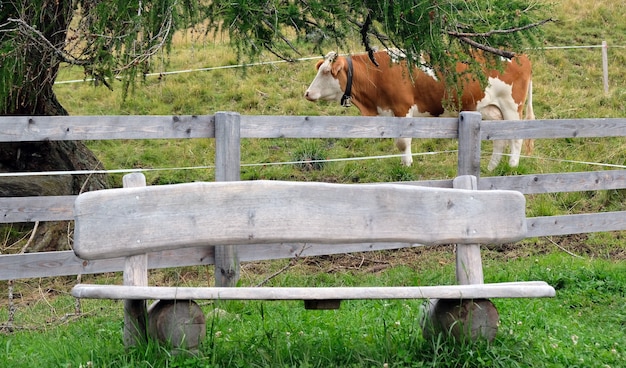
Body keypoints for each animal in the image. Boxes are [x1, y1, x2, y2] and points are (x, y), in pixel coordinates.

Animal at [302, 49, 532, 170]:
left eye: (325, 72)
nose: (307, 93)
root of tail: (520, 55)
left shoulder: (402, 109)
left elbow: (403, 142)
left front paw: (407, 165)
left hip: (512, 107)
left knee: (517, 138)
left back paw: (512, 165)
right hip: (492, 110)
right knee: (500, 140)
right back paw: (492, 167)